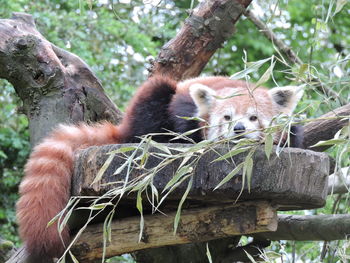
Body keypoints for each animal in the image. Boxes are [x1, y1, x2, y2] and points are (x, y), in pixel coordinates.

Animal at [16, 75, 302, 262]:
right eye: (227, 118)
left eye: (254, 117)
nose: (239, 129)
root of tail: (122, 129)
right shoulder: (185, 105)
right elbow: (182, 118)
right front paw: (185, 139)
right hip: (149, 104)